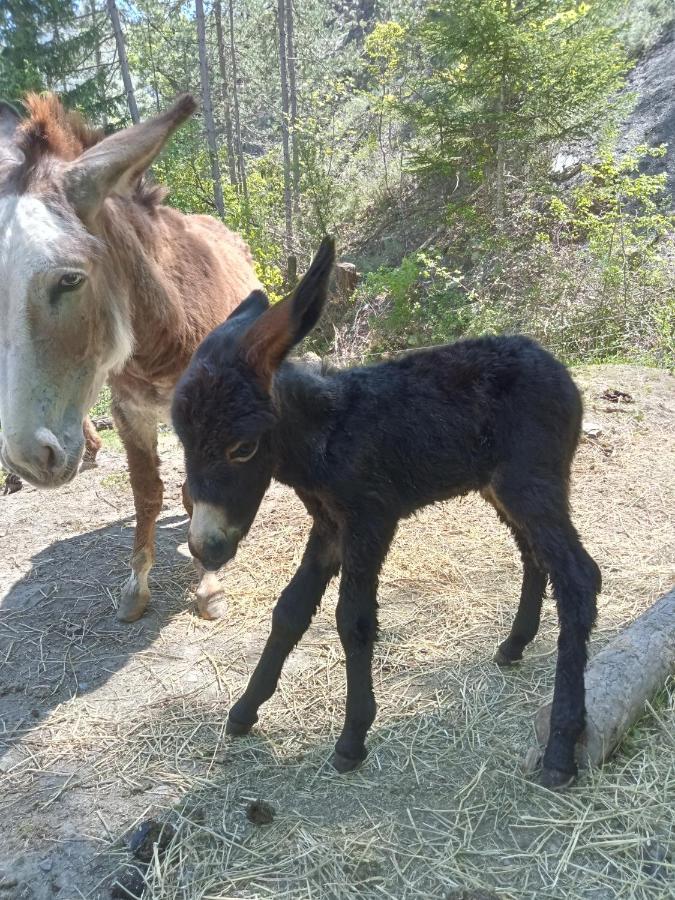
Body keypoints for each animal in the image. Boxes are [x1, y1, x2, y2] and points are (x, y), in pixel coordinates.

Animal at [173, 237, 604, 788]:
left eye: (242, 449)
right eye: (183, 441)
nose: (205, 547)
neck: (327, 435)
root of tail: (554, 364)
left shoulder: (369, 521)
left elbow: (352, 620)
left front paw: (352, 738)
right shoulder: (329, 526)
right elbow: (290, 610)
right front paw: (245, 711)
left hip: (533, 482)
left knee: (578, 577)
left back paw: (561, 746)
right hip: (502, 489)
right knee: (535, 557)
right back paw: (513, 645)